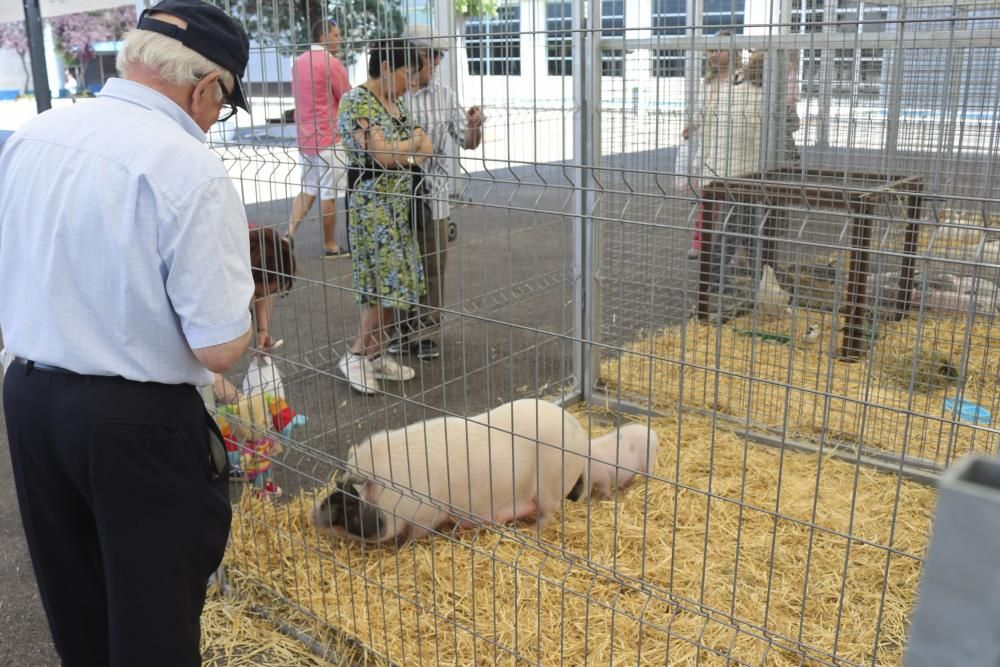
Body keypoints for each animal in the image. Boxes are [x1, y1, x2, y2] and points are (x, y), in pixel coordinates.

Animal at [316, 400, 588, 544]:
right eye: (338, 485)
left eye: (350, 499)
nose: (313, 515)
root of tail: (578, 430)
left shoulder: (428, 513)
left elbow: (416, 534)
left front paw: (403, 545)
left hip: (551, 487)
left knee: (548, 514)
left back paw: (532, 532)